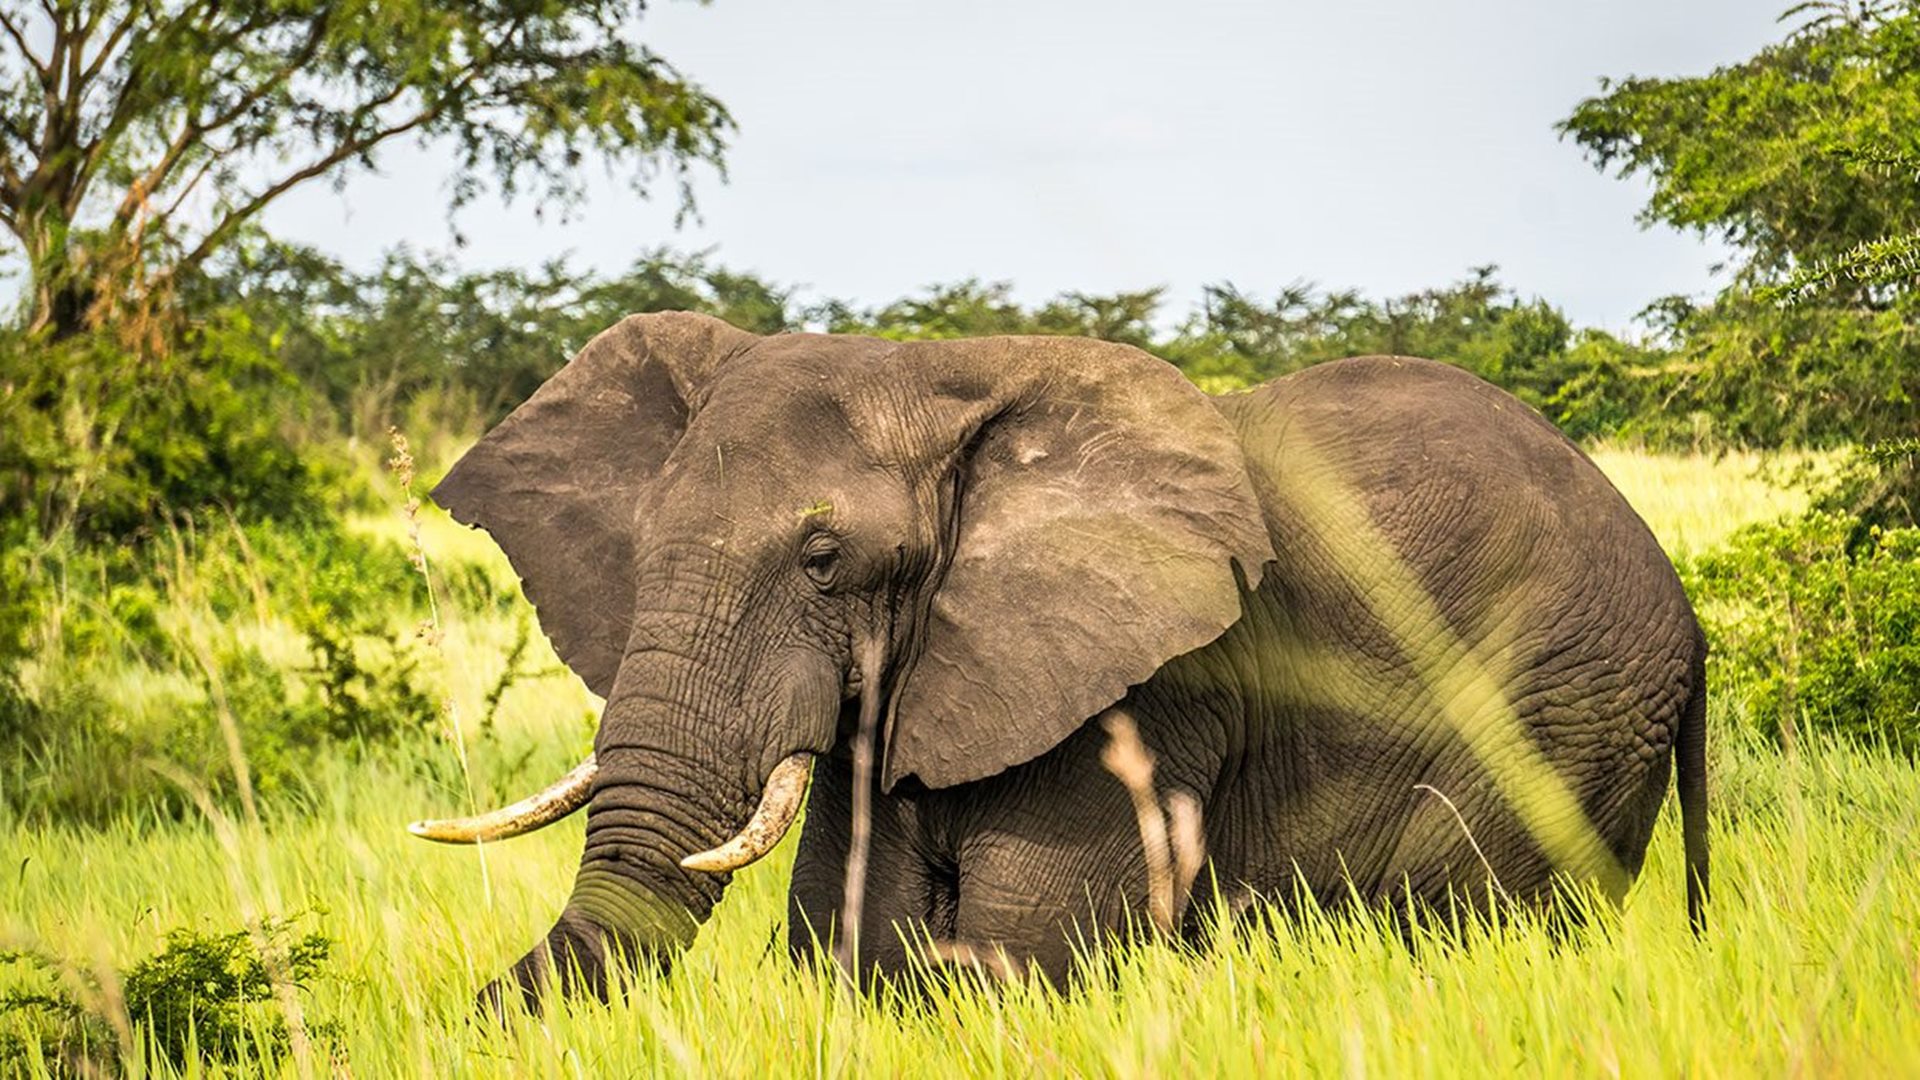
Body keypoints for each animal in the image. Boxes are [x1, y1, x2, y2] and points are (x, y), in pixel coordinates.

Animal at [408, 309, 1712, 999]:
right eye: (640, 547)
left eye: (824, 560)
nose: (464, 1015)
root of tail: (1690, 619)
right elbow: (857, 937)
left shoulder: (1144, 692)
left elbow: (1018, 950)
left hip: (1565, 708)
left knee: (1471, 915)